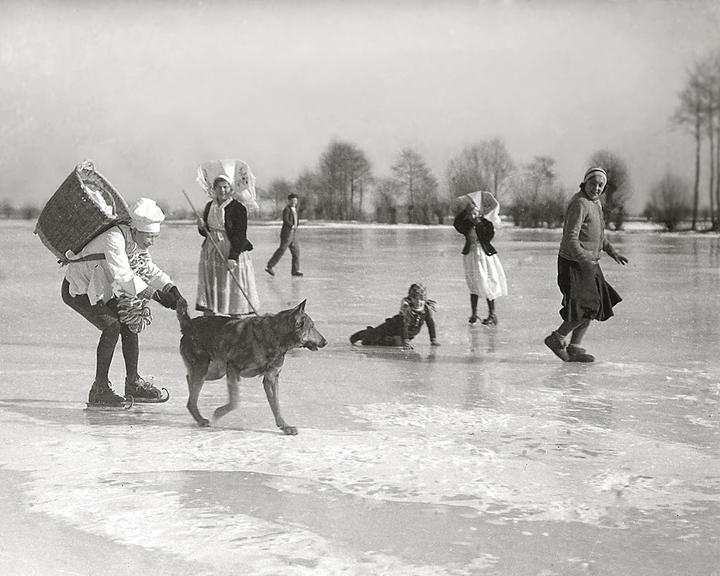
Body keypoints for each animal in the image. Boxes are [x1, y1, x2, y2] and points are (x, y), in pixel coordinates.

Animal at [176, 300, 328, 434]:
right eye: (312, 327)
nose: (325, 342)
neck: (275, 336)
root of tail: (188, 324)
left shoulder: (271, 378)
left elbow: (276, 406)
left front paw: (285, 426)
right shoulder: (233, 368)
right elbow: (235, 401)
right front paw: (218, 413)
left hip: (215, 372)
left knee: (189, 381)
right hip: (205, 370)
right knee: (191, 397)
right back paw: (200, 419)